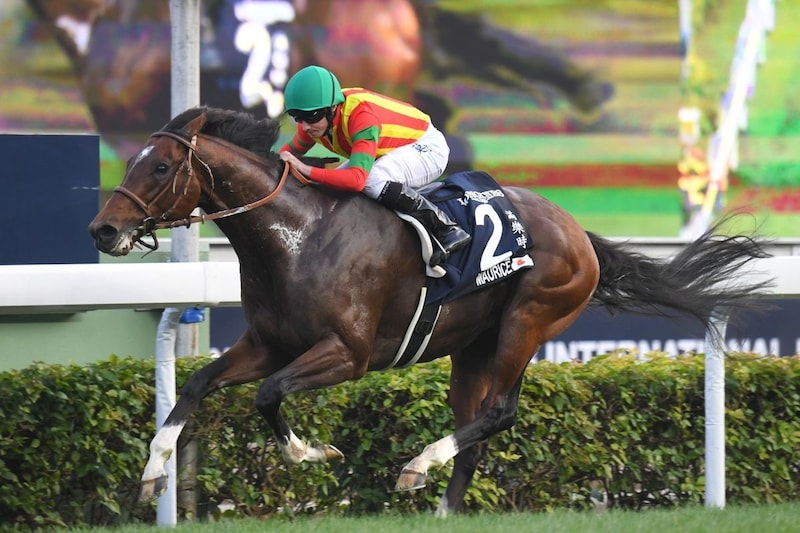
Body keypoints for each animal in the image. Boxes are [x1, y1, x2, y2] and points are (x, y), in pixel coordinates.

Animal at [88, 106, 771, 516]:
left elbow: (268, 395)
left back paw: (418, 465)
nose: (103, 230)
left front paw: (313, 455)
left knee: (498, 413)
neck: (298, 236)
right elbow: (199, 383)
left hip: (530, 320)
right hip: (472, 347)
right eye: (134, 161)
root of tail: (578, 232)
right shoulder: (269, 343)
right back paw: (442, 505)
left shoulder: (348, 353)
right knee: (477, 426)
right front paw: (152, 472)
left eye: (162, 166)